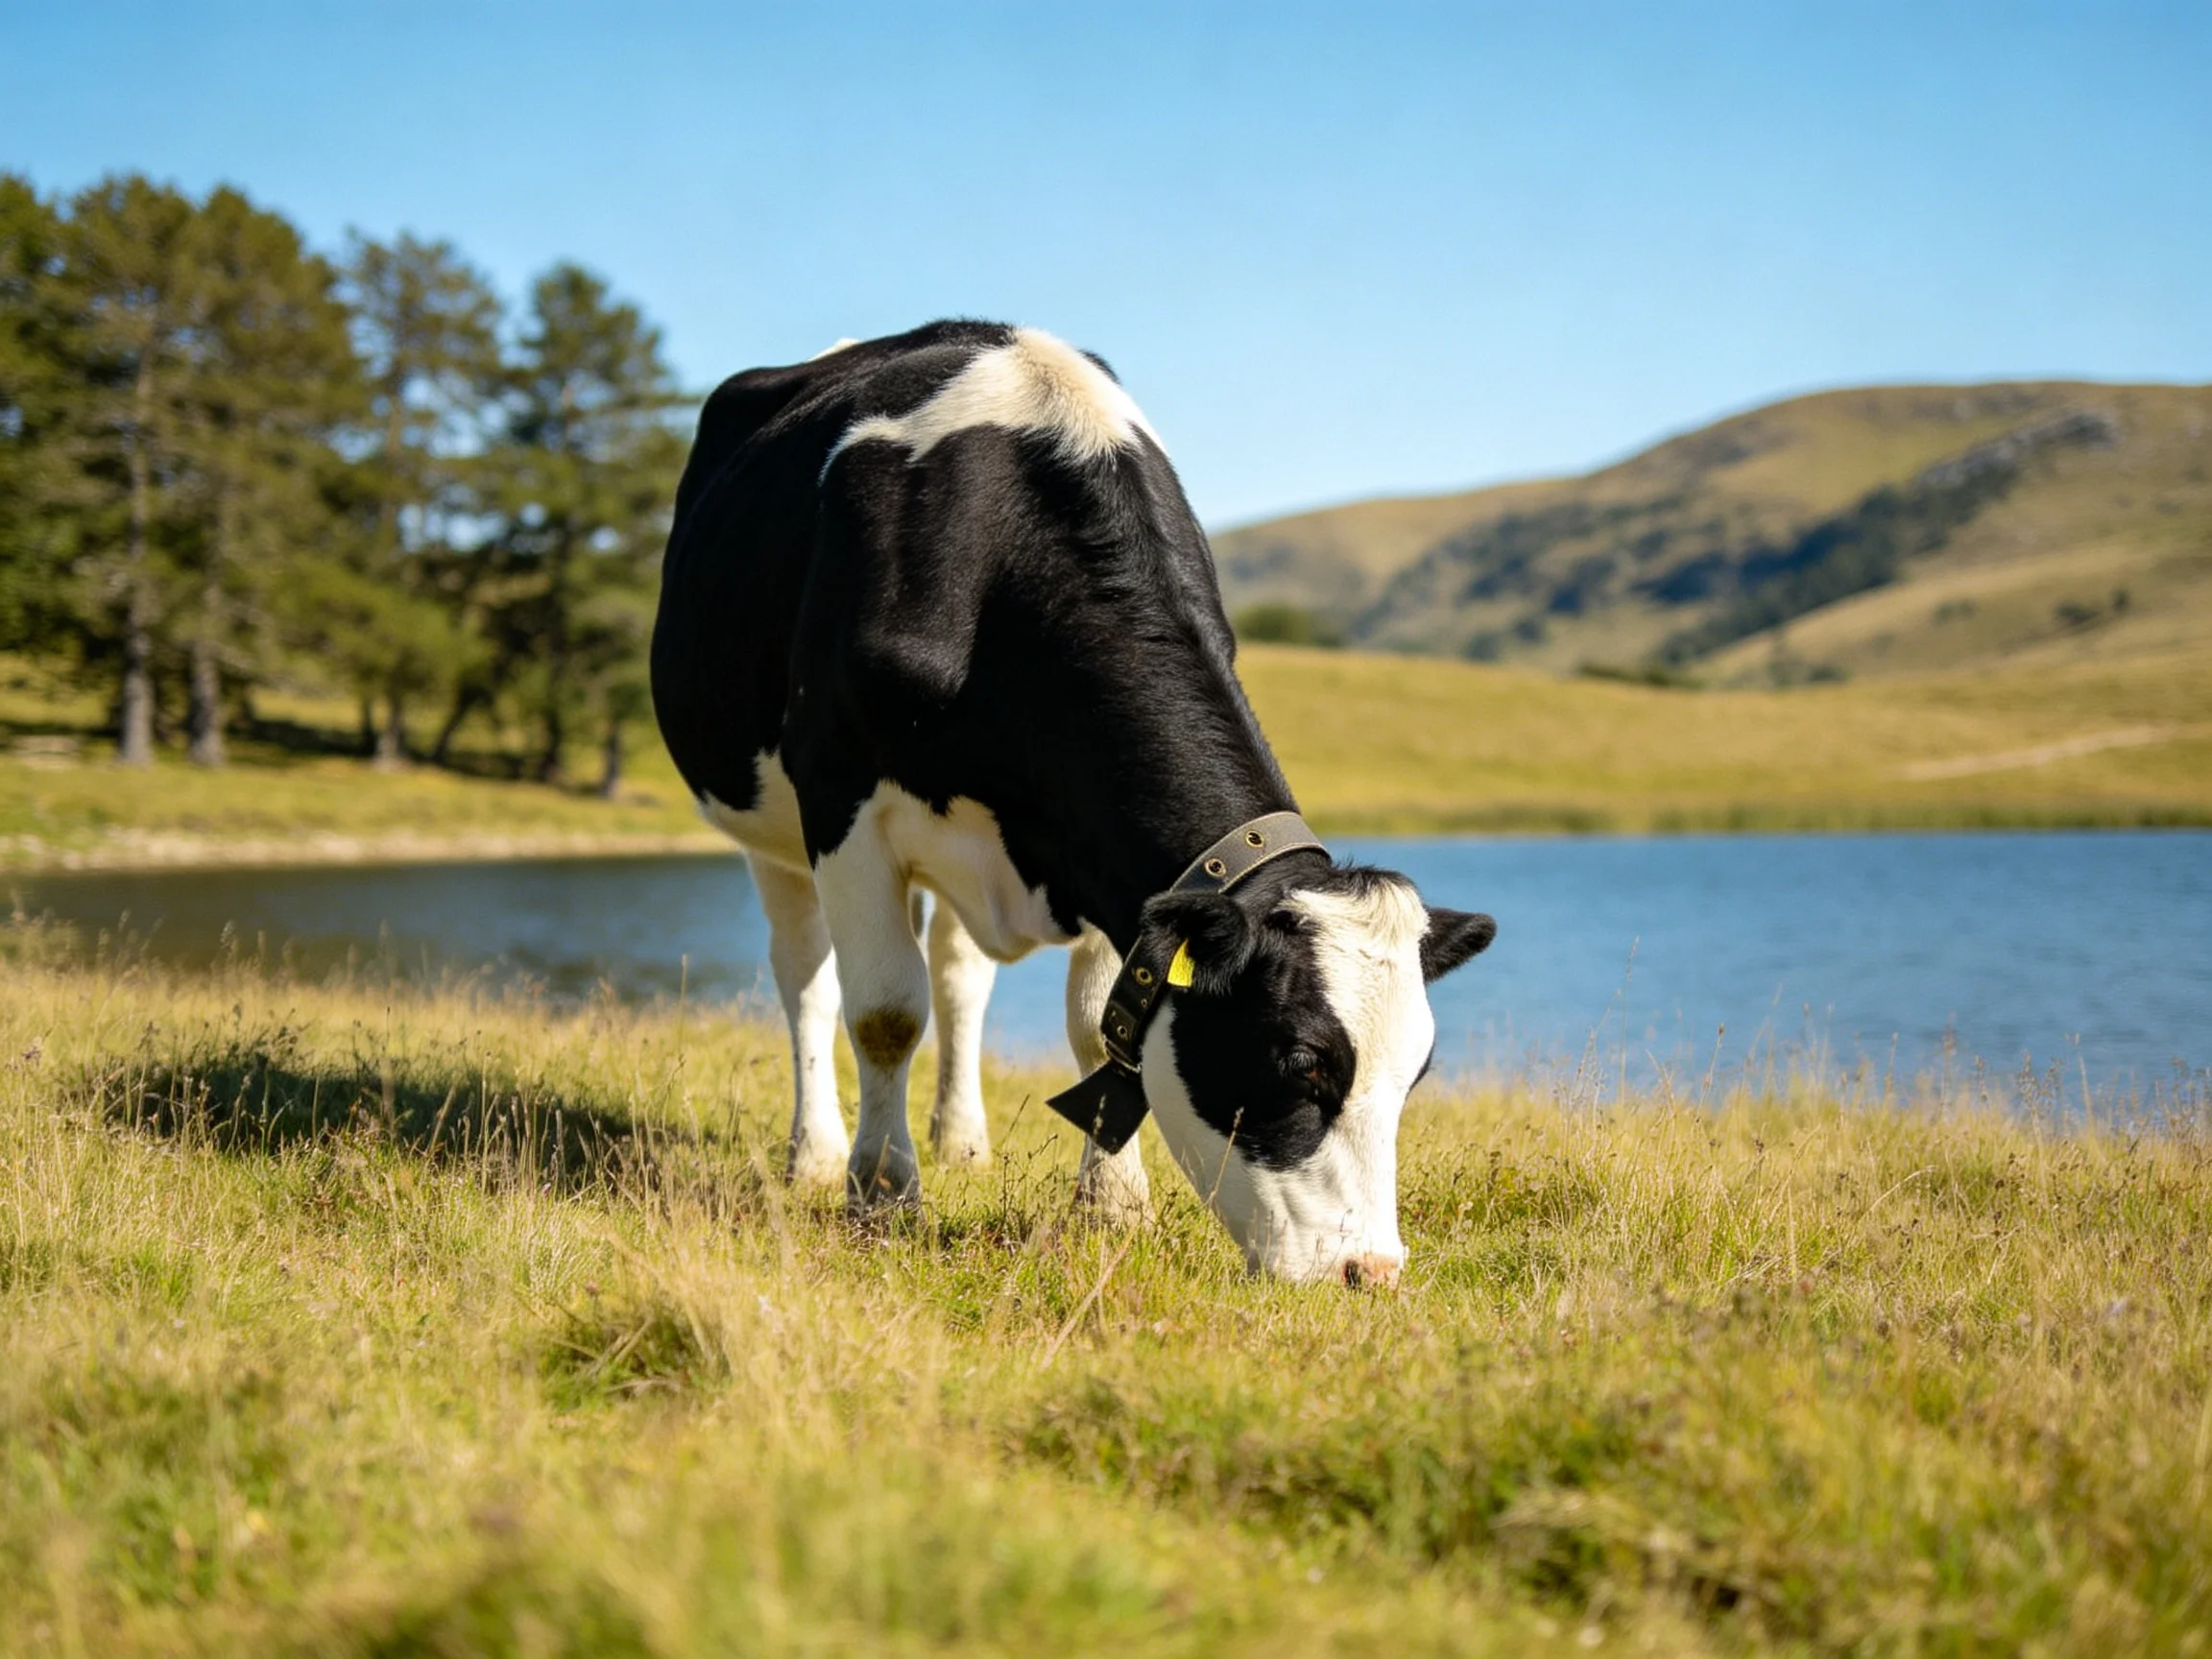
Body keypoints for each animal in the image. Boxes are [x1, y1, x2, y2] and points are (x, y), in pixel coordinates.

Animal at [651, 321, 1494, 1285]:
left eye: (1414, 1075)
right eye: (1300, 1062)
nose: (1372, 1271)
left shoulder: (1107, 851)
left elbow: (1099, 1023)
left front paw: (1112, 1205)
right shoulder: (843, 806)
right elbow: (884, 1014)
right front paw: (883, 1195)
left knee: (958, 979)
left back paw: (961, 1141)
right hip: (772, 832)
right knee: (809, 983)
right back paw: (818, 1154)